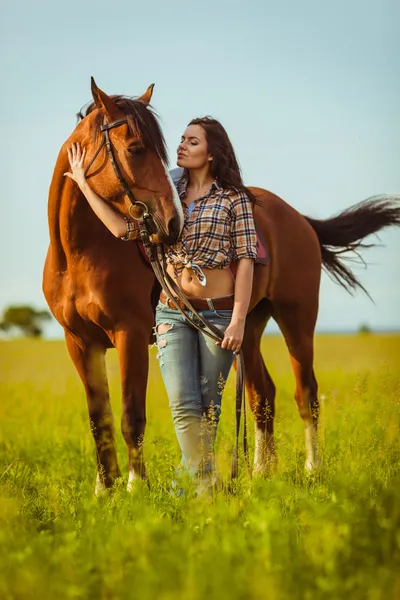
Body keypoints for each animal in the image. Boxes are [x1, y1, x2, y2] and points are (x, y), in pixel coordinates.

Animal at [43, 78, 400, 492]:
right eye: (134, 149)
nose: (172, 224)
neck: (81, 254)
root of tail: (296, 216)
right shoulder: (80, 343)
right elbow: (97, 419)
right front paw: (104, 490)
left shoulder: (128, 334)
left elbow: (131, 416)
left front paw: (134, 489)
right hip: (247, 328)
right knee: (262, 394)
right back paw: (261, 472)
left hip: (296, 319)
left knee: (306, 393)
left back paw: (313, 469)